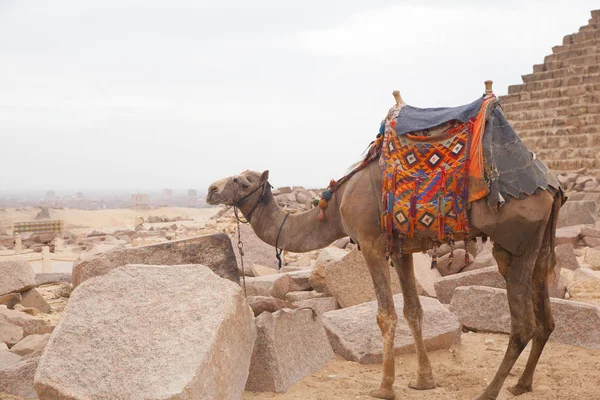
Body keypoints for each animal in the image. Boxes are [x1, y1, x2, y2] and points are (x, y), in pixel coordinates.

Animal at [205, 91, 564, 400]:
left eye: (243, 182)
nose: (210, 189)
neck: (334, 209)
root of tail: (551, 185)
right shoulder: (401, 249)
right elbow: (413, 311)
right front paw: (423, 380)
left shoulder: (371, 244)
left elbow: (386, 315)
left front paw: (385, 387)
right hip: (542, 241)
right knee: (546, 317)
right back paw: (521, 384)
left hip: (516, 241)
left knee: (523, 325)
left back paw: (489, 391)